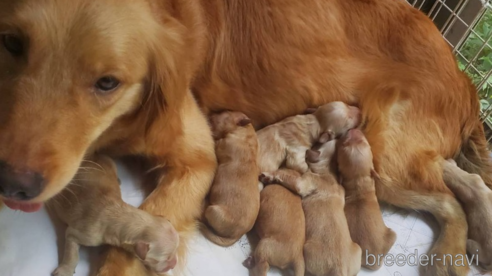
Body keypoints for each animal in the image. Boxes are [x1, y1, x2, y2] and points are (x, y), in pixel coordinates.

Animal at [46, 155, 179, 276]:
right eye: (165, 259)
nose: (174, 264)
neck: (120, 213)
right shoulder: (78, 234)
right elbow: (72, 255)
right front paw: (65, 270)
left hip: (109, 162)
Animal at [201, 111, 262, 247]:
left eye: (221, 114)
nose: (210, 115)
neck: (245, 132)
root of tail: (238, 235)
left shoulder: (222, 144)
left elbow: (216, 141)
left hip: (213, 211)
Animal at [262, 140, 362, 276]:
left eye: (317, 145)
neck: (328, 170)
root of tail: (339, 269)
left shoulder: (303, 181)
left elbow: (286, 177)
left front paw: (270, 175)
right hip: (358, 251)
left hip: (307, 251)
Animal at [338, 129, 396, 270]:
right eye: (344, 144)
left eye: (363, 142)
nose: (353, 129)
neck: (358, 183)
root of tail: (373, 259)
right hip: (392, 234)